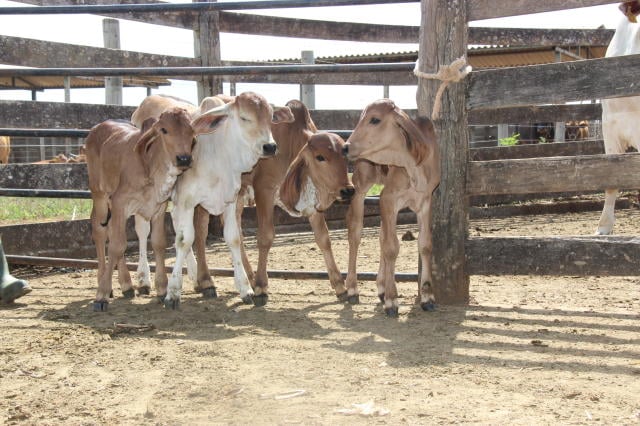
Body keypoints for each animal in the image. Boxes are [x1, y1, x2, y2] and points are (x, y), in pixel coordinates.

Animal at [86, 108, 219, 312]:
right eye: (164, 130)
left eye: (191, 129)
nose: (184, 158)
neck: (151, 167)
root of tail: (98, 128)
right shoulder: (119, 202)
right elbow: (117, 246)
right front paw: (101, 295)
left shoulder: (158, 207)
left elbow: (158, 243)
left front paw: (162, 289)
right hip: (99, 195)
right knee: (100, 232)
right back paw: (106, 283)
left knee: (110, 232)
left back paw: (126, 284)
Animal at [342, 100, 442, 318]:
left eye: (375, 119)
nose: (345, 147)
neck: (413, 166)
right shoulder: (388, 198)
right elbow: (391, 247)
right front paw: (392, 299)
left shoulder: (425, 201)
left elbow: (425, 244)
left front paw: (427, 297)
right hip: (361, 185)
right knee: (355, 233)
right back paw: (352, 288)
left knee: (381, 236)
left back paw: (380, 287)